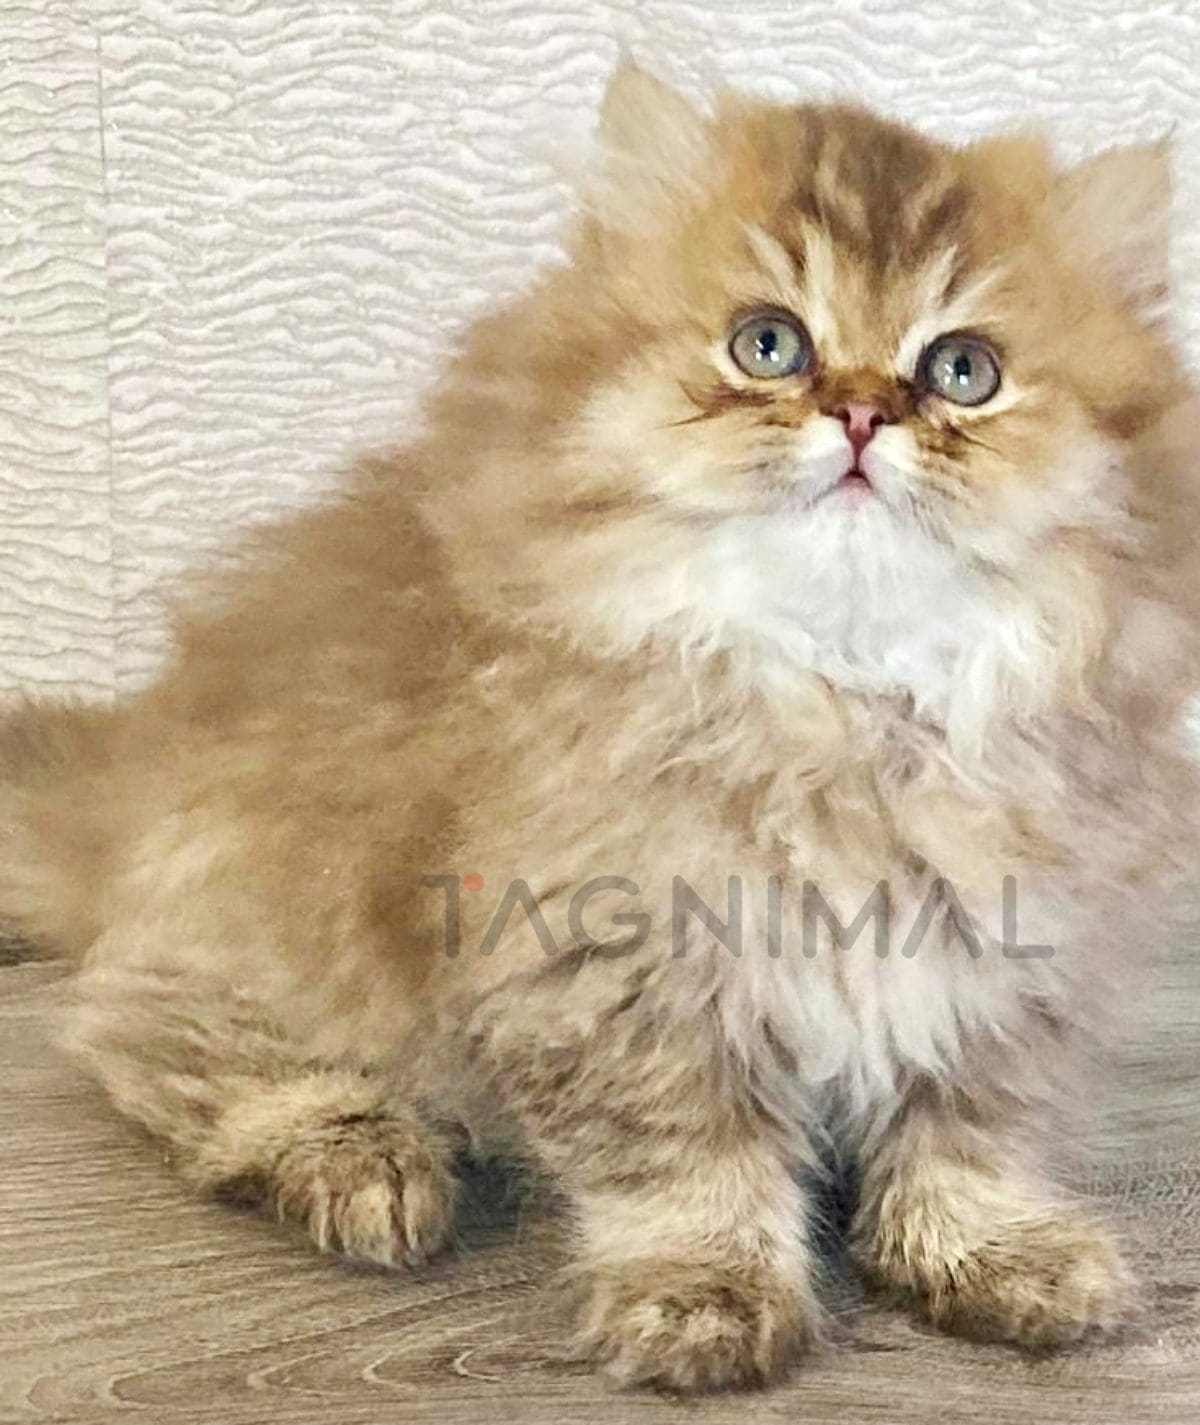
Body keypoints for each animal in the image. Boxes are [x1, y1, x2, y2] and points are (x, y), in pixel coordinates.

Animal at [3, 61, 1199, 1393]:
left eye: (963, 372)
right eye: (769, 346)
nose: (859, 415)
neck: (839, 706)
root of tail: (140, 765)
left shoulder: (999, 957)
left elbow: (969, 1137)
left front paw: (996, 1253)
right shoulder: (610, 958)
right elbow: (682, 1158)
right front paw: (703, 1292)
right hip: (264, 920)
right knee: (139, 1029)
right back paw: (357, 1150)